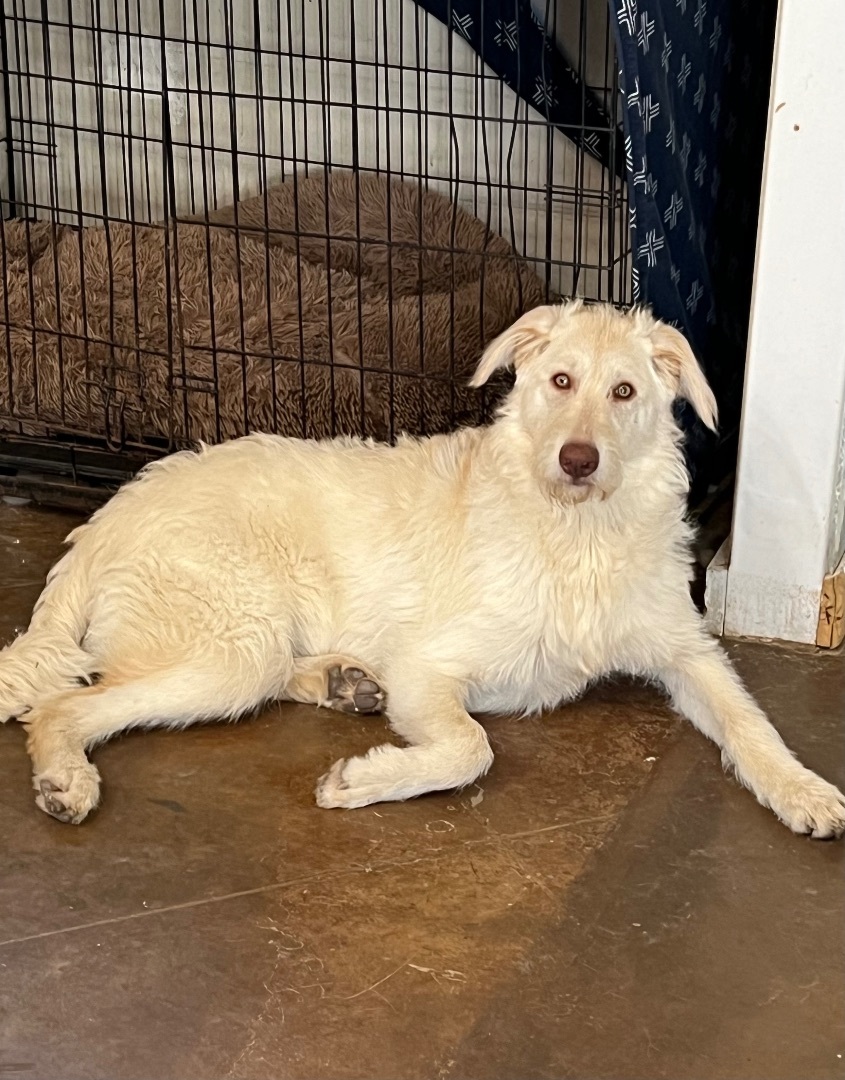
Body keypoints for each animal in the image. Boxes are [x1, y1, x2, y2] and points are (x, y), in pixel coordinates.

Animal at [1, 304, 845, 833]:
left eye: (624, 391)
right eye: (560, 382)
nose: (577, 459)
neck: (576, 534)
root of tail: (106, 516)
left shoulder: (687, 649)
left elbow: (749, 721)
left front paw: (800, 788)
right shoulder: (428, 668)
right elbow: (472, 748)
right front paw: (363, 781)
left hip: (245, 645)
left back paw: (341, 680)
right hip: (230, 644)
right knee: (61, 707)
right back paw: (68, 779)